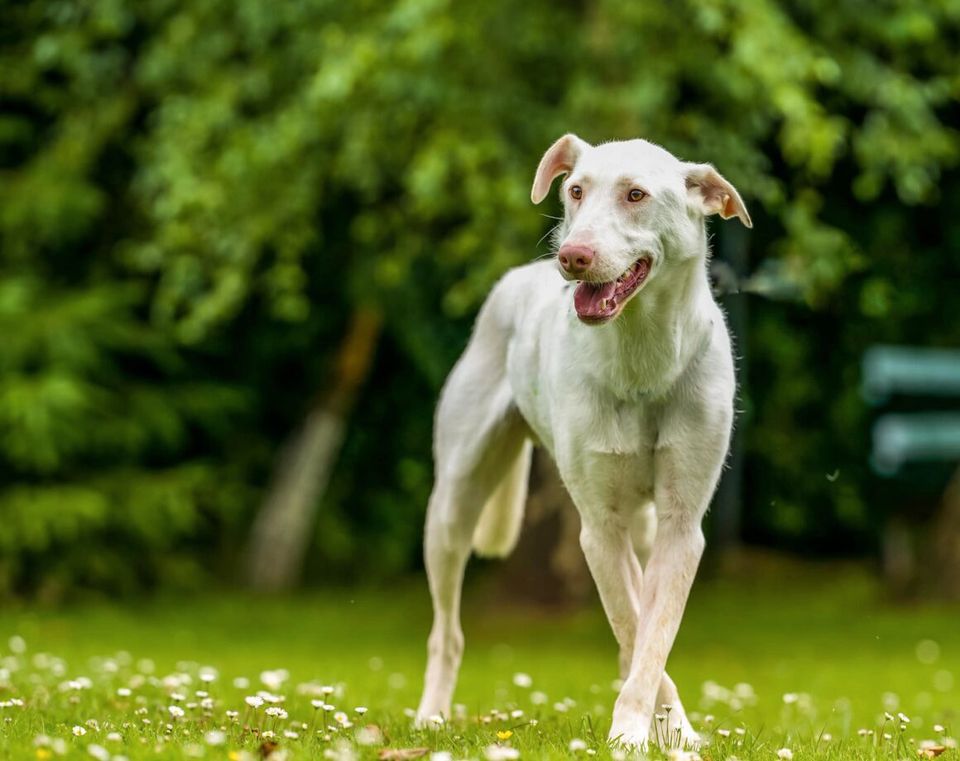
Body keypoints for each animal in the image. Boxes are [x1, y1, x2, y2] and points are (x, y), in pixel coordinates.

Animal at [416, 134, 752, 744]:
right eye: (575, 190)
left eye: (636, 194)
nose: (572, 257)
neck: (643, 360)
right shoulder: (600, 528)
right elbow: (634, 624)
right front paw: (643, 732)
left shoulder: (679, 527)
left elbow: (651, 637)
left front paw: (669, 735)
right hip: (452, 508)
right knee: (446, 633)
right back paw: (431, 716)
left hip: (642, 529)